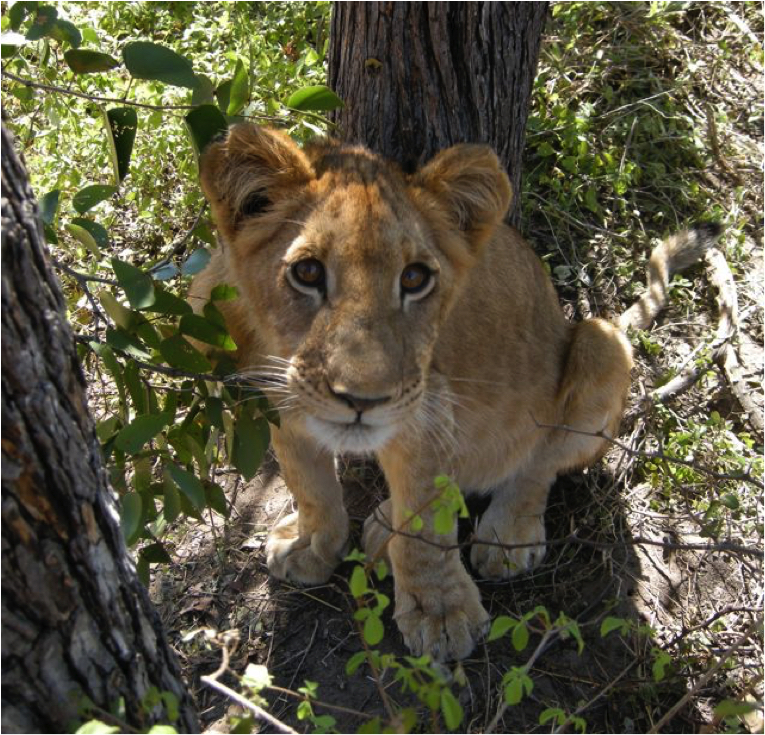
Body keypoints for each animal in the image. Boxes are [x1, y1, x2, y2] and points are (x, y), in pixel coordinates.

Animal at [190, 124, 720, 661]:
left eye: (415, 278)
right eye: (308, 272)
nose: (363, 401)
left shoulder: (428, 408)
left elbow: (425, 526)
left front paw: (442, 613)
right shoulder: (273, 403)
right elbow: (308, 482)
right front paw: (312, 546)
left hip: (599, 343)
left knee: (538, 465)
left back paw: (504, 534)